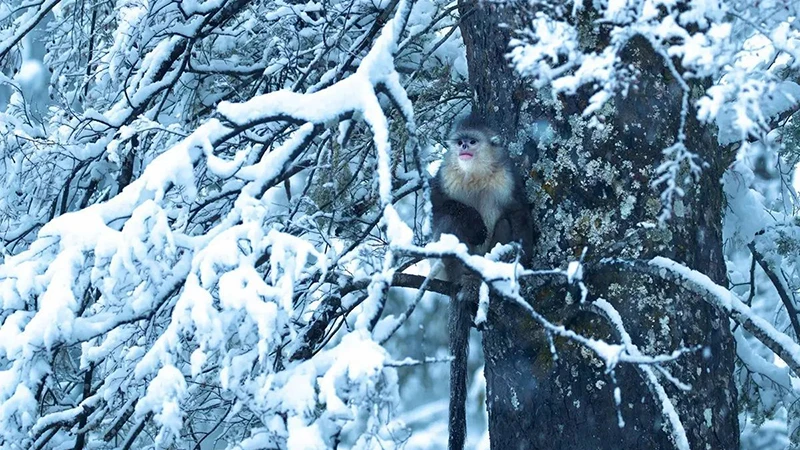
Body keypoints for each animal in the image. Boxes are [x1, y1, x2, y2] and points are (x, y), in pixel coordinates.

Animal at [428, 115, 536, 450]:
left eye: (472, 141)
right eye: (460, 140)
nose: (463, 147)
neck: (474, 173)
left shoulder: (508, 178)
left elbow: (518, 213)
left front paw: (522, 259)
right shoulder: (445, 173)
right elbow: (440, 204)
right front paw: (474, 222)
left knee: (505, 224)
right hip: (449, 265)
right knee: (450, 222)